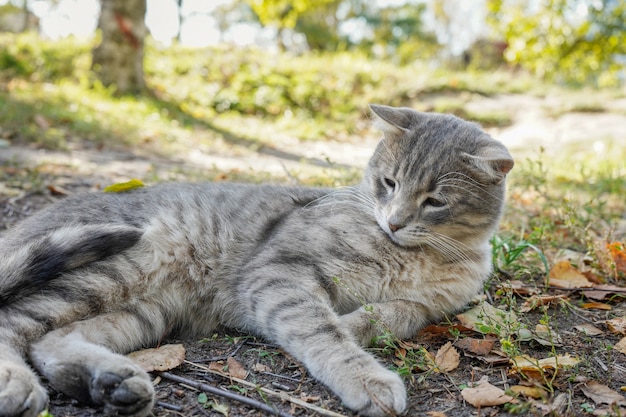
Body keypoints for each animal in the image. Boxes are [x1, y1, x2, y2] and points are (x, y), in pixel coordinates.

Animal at [0, 105, 512, 416]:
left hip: (142, 313)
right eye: (389, 182)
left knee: (50, 342)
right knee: (13, 325)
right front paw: (363, 372)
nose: (396, 221)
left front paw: (356, 324)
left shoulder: (429, 307)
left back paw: (114, 383)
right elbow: (320, 329)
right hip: (118, 268)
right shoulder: (279, 274)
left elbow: (393, 314)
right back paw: (19, 386)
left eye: (435, 201)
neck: (413, 254)